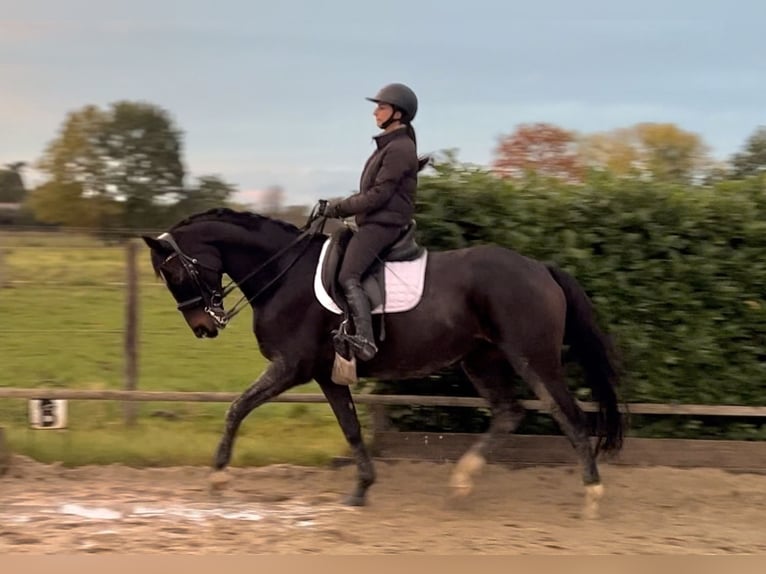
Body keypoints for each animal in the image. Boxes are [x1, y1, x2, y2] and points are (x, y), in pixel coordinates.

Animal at [141, 206, 625, 518]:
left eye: (174, 272)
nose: (204, 327)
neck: (284, 275)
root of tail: (541, 268)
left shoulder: (290, 367)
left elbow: (236, 408)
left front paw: (218, 479)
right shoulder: (325, 375)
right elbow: (352, 429)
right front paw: (361, 489)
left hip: (533, 359)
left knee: (570, 415)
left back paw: (593, 495)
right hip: (481, 360)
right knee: (510, 412)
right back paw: (462, 483)